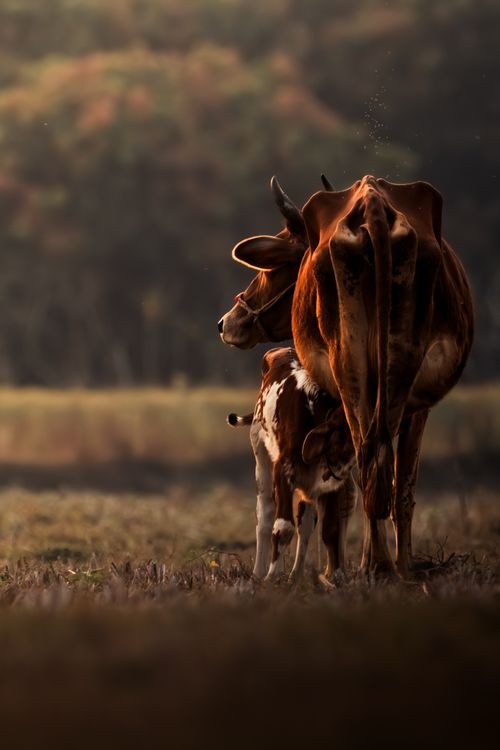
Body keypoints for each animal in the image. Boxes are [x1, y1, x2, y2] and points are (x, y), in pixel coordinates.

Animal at [227, 346, 357, 582]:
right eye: (345, 435)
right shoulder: (284, 469)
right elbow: (283, 527)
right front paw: (272, 576)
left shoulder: (330, 485)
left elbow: (330, 528)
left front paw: (334, 576)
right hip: (261, 459)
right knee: (265, 517)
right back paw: (258, 573)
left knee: (305, 524)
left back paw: (296, 574)